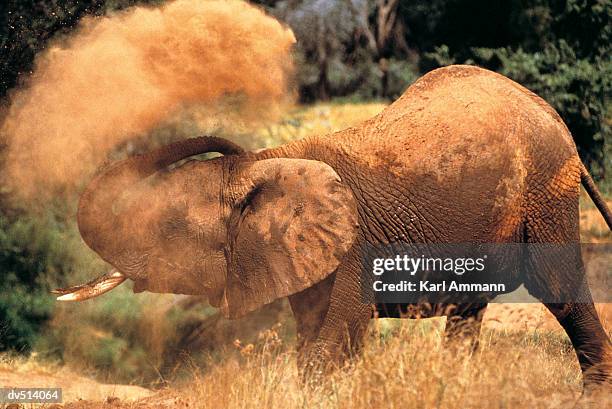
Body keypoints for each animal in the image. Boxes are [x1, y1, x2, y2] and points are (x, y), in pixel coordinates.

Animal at [56, 65, 612, 390]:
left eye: (164, 227)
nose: (233, 147)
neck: (271, 166)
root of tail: (553, 116)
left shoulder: (351, 246)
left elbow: (337, 335)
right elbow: (311, 337)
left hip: (545, 190)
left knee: (560, 290)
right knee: (466, 312)